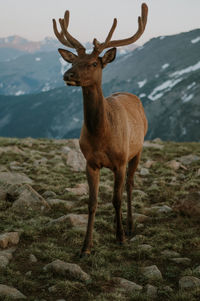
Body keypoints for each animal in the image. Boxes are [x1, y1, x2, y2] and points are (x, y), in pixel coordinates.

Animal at [53, 2, 148, 255]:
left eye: (94, 63)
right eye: (72, 61)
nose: (68, 75)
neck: (102, 136)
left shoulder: (120, 160)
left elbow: (116, 199)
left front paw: (121, 237)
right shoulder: (90, 162)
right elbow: (92, 203)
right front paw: (86, 246)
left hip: (137, 150)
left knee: (129, 187)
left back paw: (130, 226)